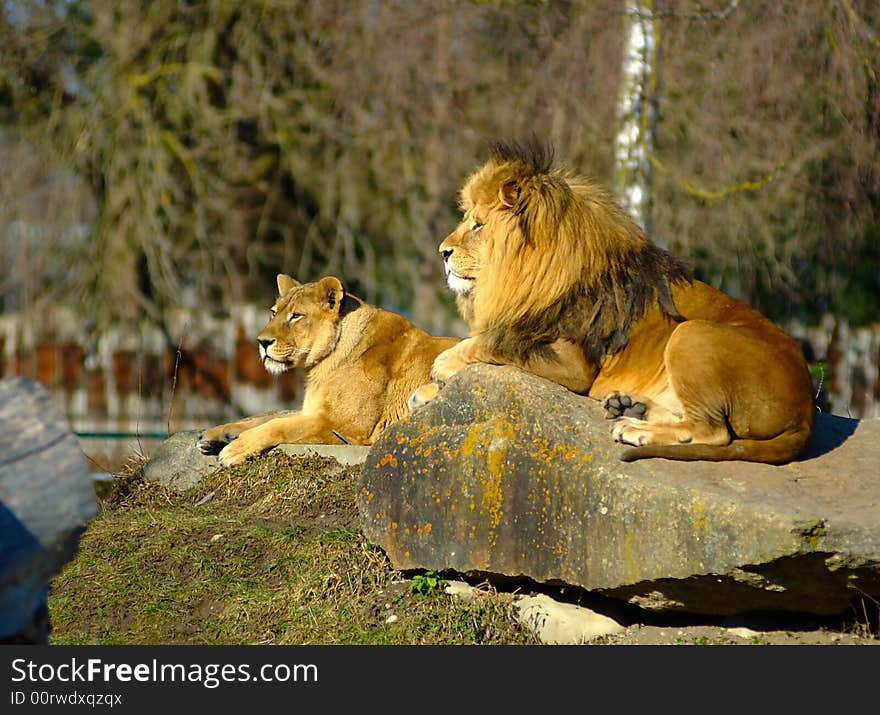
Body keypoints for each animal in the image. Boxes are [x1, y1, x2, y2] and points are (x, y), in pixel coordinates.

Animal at [200, 272, 460, 468]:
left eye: (296, 316)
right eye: (274, 312)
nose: (262, 342)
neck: (321, 366)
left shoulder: (342, 425)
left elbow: (278, 425)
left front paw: (234, 448)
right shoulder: (313, 410)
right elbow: (266, 418)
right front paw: (215, 435)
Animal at [416, 140, 816, 464]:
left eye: (478, 225)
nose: (442, 252)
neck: (520, 277)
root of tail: (806, 411)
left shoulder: (571, 364)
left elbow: (493, 343)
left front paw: (443, 365)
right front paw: (426, 391)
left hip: (693, 334)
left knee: (713, 430)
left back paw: (636, 428)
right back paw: (630, 406)